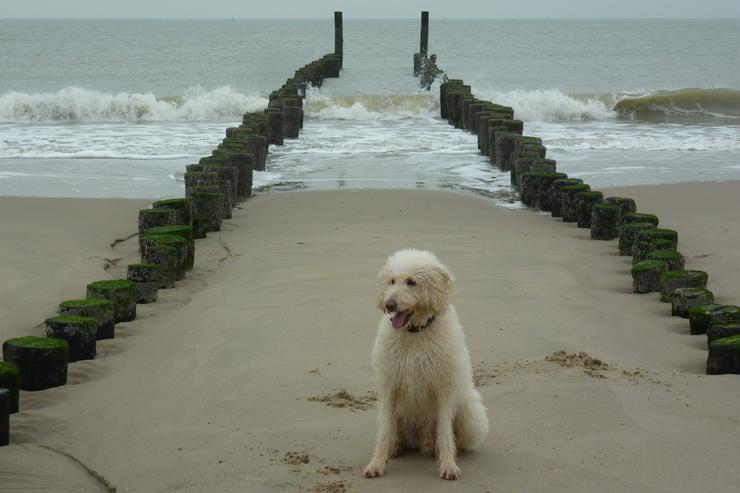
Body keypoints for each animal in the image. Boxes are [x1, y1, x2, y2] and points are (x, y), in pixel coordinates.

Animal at [366, 248, 492, 478]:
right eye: (391, 281)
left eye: (411, 282)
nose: (389, 304)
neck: (416, 333)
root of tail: (423, 441)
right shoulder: (390, 386)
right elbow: (384, 432)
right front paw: (376, 464)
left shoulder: (444, 389)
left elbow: (445, 432)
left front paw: (448, 465)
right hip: (399, 415)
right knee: (393, 432)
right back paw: (394, 448)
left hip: (470, 413)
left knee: (455, 439)